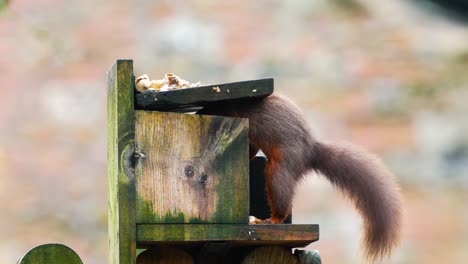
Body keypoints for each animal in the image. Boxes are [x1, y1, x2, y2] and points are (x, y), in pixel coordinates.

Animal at [197, 94, 402, 260]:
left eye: (209, 108)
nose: (199, 113)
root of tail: (309, 153)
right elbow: (251, 150)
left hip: (279, 171)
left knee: (282, 196)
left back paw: (274, 219)